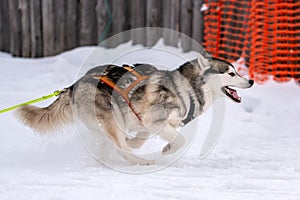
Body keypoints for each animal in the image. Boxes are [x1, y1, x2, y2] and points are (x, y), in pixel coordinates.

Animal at [14, 52, 253, 165]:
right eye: (231, 74)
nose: (250, 80)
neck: (186, 87)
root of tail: (73, 86)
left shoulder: (145, 124)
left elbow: (139, 141)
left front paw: (135, 142)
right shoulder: (154, 120)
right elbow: (180, 139)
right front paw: (168, 149)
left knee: (113, 146)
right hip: (112, 118)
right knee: (121, 149)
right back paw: (142, 162)